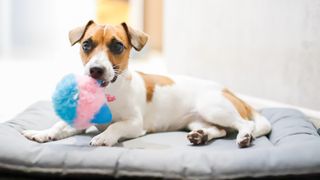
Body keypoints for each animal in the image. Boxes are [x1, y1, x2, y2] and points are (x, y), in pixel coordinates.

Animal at [22, 20, 272, 148]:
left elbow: (116, 127)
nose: (95, 70)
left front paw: (104, 137)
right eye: (86, 44)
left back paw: (244, 136)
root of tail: (230, 92)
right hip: (198, 119)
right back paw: (201, 135)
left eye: (117, 46)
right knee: (218, 130)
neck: (108, 91)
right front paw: (43, 133)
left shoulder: (134, 124)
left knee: (245, 124)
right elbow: (58, 126)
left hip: (213, 107)